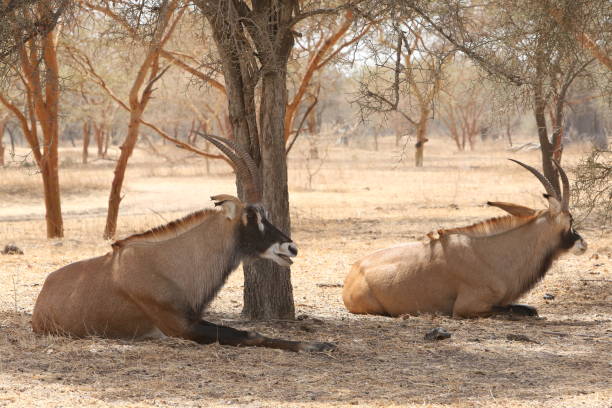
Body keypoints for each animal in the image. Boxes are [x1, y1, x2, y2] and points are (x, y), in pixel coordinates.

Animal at [32, 135, 334, 352]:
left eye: (266, 213)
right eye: (251, 215)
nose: (291, 248)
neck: (170, 262)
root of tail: (41, 300)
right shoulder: (181, 327)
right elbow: (250, 333)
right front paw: (314, 344)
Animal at [344, 160, 588, 318]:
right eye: (570, 220)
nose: (583, 244)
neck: (493, 254)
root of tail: (353, 273)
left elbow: (528, 309)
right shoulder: (467, 307)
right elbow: (516, 312)